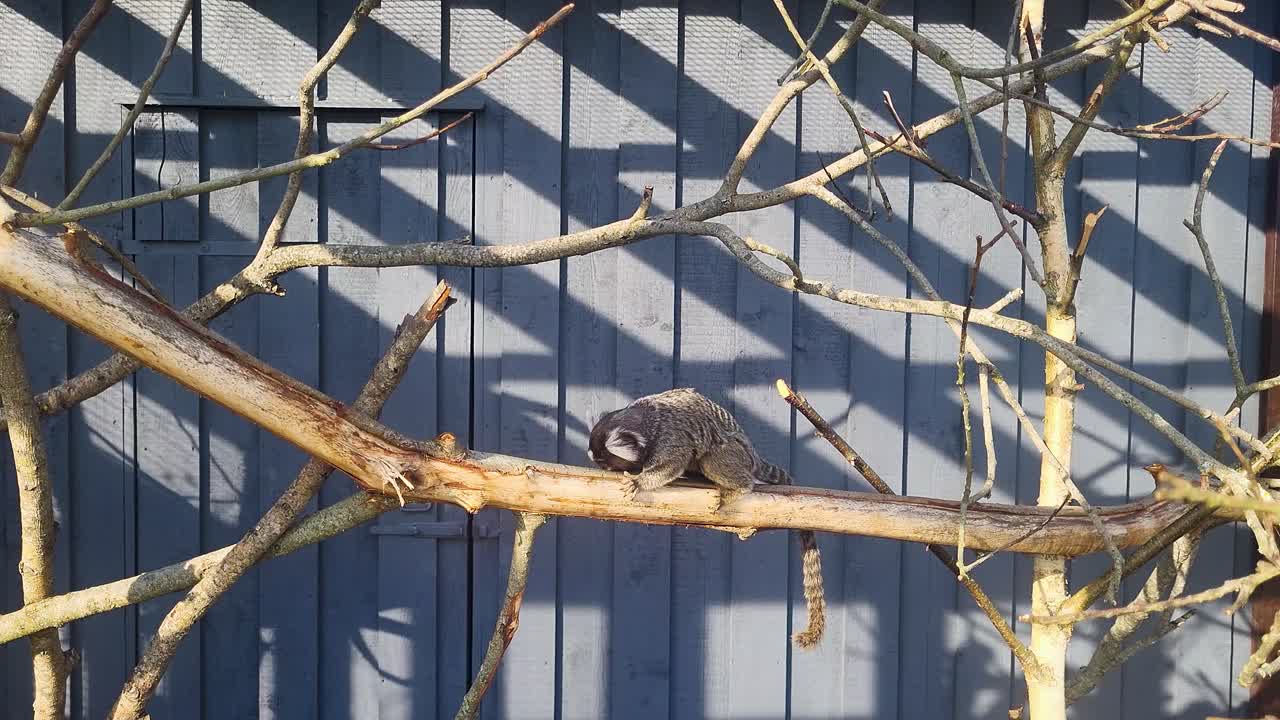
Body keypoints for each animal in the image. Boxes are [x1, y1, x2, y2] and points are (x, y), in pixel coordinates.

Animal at [587, 387, 826, 650]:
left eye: (603, 460)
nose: (598, 465)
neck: (648, 420)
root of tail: (754, 456)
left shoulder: (670, 439)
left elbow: (671, 464)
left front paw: (640, 482)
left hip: (736, 454)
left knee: (713, 455)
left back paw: (739, 487)